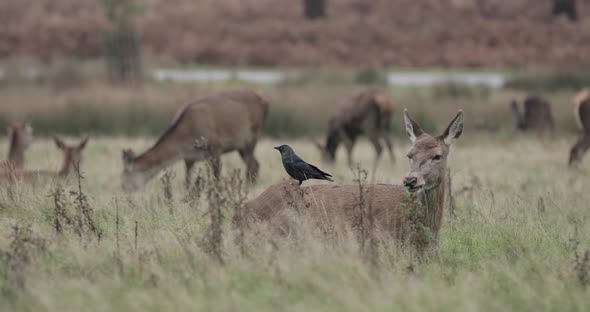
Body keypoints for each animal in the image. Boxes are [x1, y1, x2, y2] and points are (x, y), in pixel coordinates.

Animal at [122, 88, 270, 190]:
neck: (185, 139)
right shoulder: (189, 158)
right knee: (256, 163)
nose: (123, 188)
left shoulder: (216, 146)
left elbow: (216, 178)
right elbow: (187, 182)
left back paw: (248, 188)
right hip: (241, 145)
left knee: (251, 165)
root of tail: (265, 102)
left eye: (126, 173)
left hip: (252, 136)